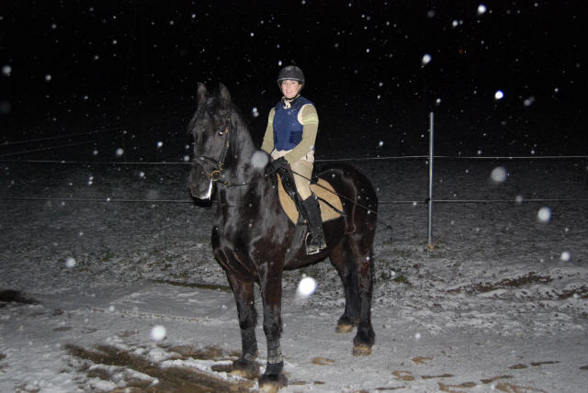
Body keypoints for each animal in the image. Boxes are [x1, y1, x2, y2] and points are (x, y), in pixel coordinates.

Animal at [189, 83, 376, 392]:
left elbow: (271, 322)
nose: (197, 184)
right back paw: (348, 320)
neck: (246, 203)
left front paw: (273, 373)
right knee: (347, 276)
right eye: (193, 132)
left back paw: (364, 338)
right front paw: (246, 362)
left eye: (221, 132)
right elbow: (246, 317)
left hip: (361, 241)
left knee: (363, 281)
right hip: (336, 247)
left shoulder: (269, 270)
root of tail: (357, 177)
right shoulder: (235, 272)